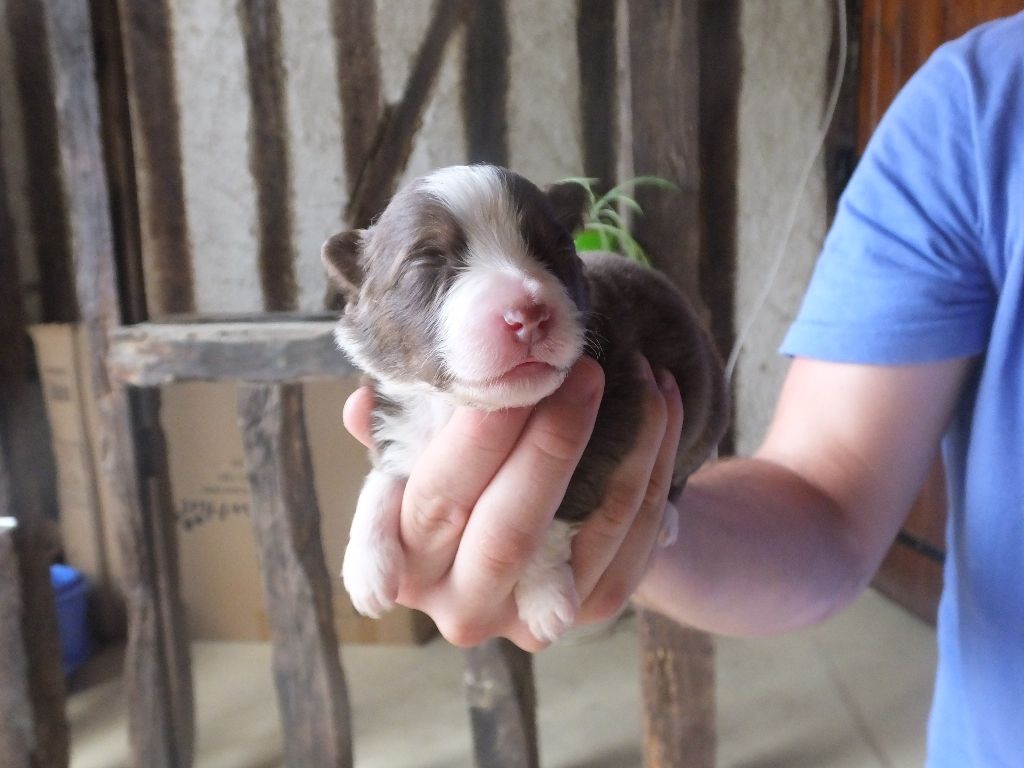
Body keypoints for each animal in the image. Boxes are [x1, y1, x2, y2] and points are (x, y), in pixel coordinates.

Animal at [321, 163, 729, 643]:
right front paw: (365, 567)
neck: (461, 407)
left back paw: (664, 517)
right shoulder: (395, 418)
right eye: (427, 263)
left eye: (557, 247)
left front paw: (544, 597)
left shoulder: (611, 418)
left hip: (707, 413)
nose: (529, 315)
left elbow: (553, 516)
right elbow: (382, 478)